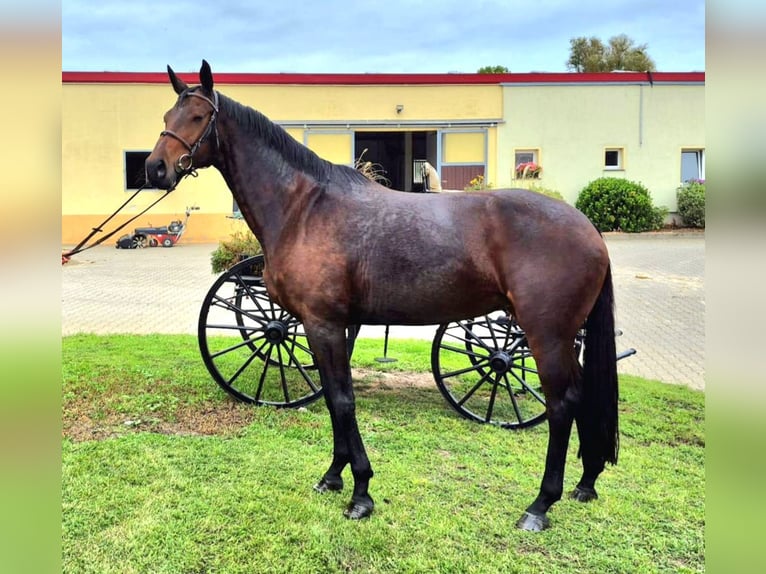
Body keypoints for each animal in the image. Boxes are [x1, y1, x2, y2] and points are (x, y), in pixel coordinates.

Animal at [145, 61, 619, 531]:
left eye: (198, 117)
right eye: (167, 115)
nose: (155, 169)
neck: (304, 208)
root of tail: (588, 229)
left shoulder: (324, 324)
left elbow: (342, 400)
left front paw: (360, 492)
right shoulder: (323, 327)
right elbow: (334, 399)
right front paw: (333, 477)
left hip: (546, 336)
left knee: (562, 405)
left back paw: (540, 504)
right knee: (582, 397)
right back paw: (585, 483)